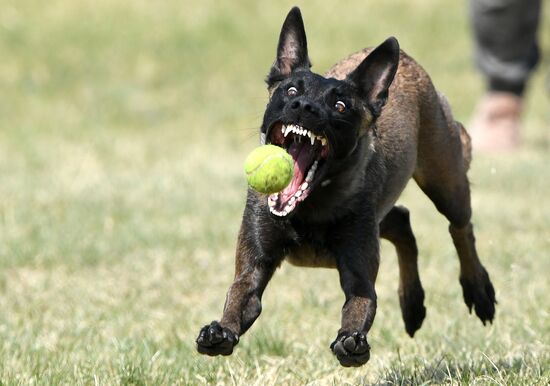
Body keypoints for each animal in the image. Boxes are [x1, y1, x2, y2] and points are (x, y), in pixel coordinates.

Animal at [196, 6, 498, 368]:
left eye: (340, 106)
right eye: (291, 91)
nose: (304, 107)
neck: (309, 207)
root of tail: (408, 61)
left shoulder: (359, 272)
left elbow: (361, 302)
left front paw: (351, 341)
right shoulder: (255, 266)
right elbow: (241, 295)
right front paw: (220, 331)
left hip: (444, 179)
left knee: (460, 227)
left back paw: (478, 291)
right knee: (402, 222)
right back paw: (412, 303)